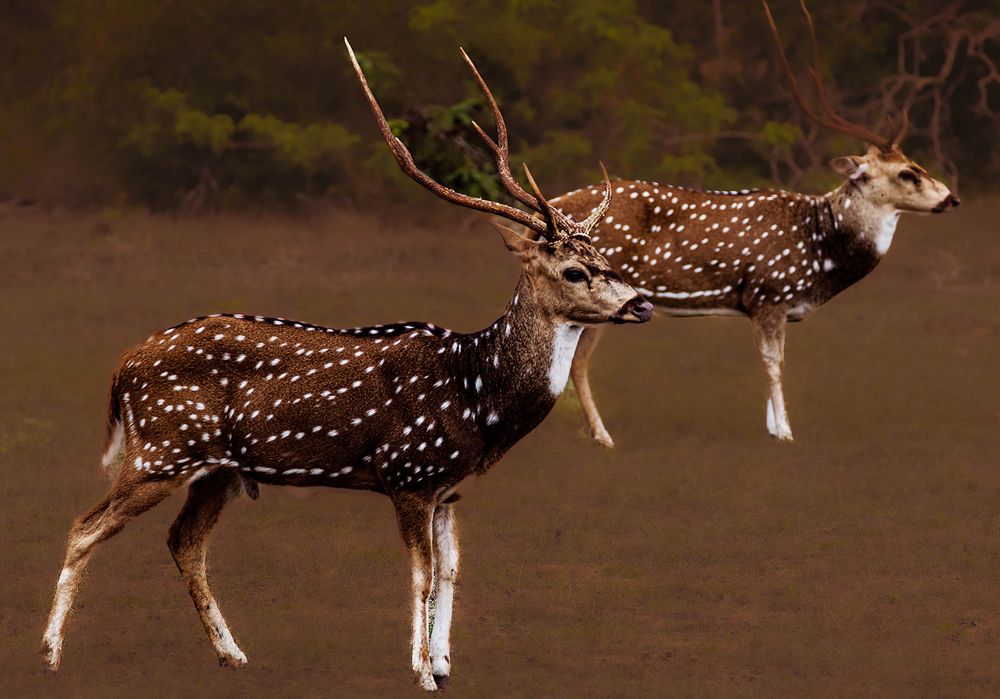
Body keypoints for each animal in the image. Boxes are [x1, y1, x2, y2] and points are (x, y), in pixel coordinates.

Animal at [40, 40, 653, 692]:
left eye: (607, 255)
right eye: (574, 270)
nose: (641, 303)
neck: (478, 399)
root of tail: (122, 366)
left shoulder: (448, 490)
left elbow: (452, 573)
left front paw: (444, 666)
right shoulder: (408, 473)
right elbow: (421, 575)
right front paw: (421, 673)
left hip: (215, 470)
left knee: (183, 542)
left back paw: (234, 654)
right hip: (162, 449)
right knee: (83, 526)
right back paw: (50, 655)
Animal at [551, 0, 961, 447]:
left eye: (915, 164)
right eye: (907, 173)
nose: (951, 198)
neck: (821, 246)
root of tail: (551, 204)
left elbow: (771, 361)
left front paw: (771, 427)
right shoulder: (769, 293)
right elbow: (773, 362)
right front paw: (785, 434)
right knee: (578, 362)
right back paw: (603, 437)